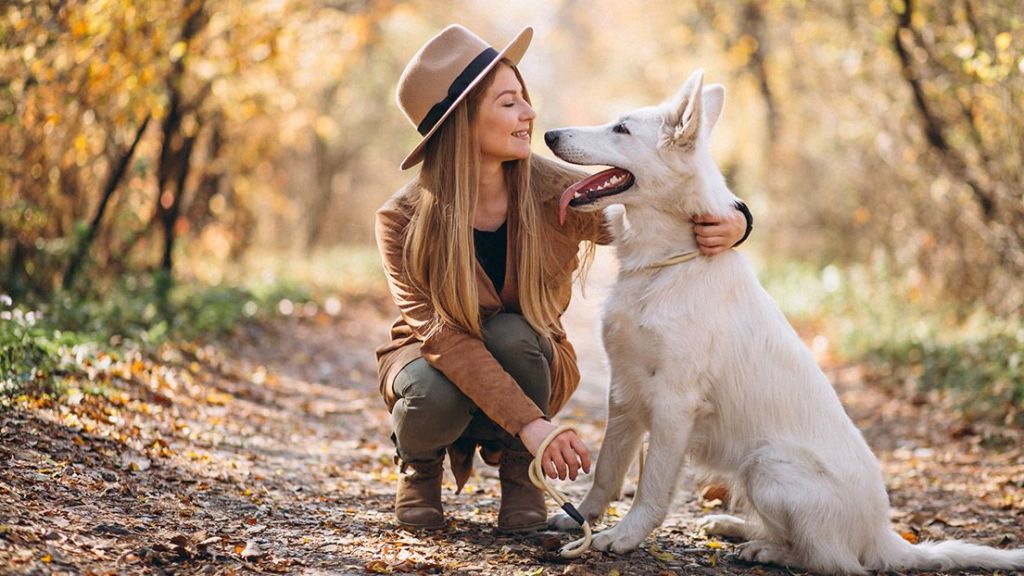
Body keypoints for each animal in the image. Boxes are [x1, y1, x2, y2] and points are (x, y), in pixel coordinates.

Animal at [544, 69, 1024, 569]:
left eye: (621, 129)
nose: (549, 134)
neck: (667, 264)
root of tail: (882, 535)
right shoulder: (624, 392)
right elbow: (607, 471)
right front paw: (580, 518)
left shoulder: (674, 403)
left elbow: (651, 489)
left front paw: (623, 536)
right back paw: (734, 527)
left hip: (768, 465)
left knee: (831, 560)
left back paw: (764, 549)